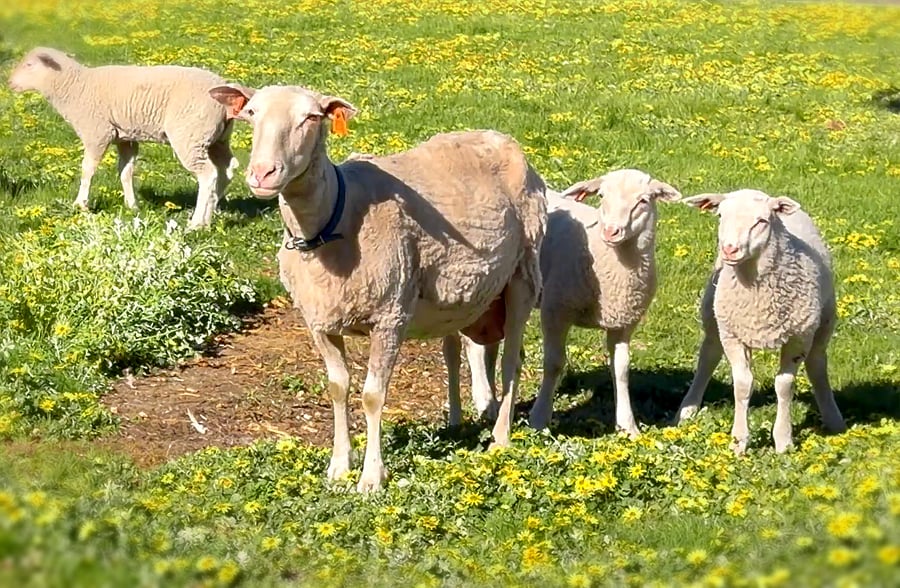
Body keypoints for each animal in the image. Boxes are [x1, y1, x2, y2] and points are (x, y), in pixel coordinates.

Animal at [8, 47, 237, 228]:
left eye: (29, 64)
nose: (9, 83)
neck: (74, 86)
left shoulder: (97, 132)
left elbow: (87, 169)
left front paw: (80, 204)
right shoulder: (125, 138)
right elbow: (125, 172)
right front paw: (131, 205)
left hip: (190, 135)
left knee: (207, 174)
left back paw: (196, 223)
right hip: (216, 138)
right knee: (226, 169)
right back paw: (211, 213)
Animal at [209, 82, 546, 492]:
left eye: (311, 117)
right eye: (251, 113)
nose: (262, 173)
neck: (333, 217)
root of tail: (501, 137)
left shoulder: (390, 316)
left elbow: (373, 395)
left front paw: (371, 477)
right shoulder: (319, 320)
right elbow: (338, 387)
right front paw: (339, 466)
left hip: (523, 275)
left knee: (513, 360)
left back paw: (500, 438)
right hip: (471, 297)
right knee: (469, 350)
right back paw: (466, 420)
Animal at [459, 171, 681, 436]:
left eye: (643, 201)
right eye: (602, 196)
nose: (611, 231)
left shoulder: (624, 322)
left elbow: (622, 369)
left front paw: (628, 426)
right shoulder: (556, 310)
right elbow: (554, 363)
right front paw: (539, 417)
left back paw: (493, 401)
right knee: (473, 344)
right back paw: (485, 400)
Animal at [676, 190, 847, 454]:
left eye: (761, 221)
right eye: (720, 215)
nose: (730, 249)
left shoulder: (797, 338)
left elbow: (784, 385)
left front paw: (784, 441)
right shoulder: (733, 336)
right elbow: (743, 384)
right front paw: (738, 442)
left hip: (823, 323)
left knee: (817, 364)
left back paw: (833, 418)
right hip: (714, 318)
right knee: (708, 358)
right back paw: (688, 409)